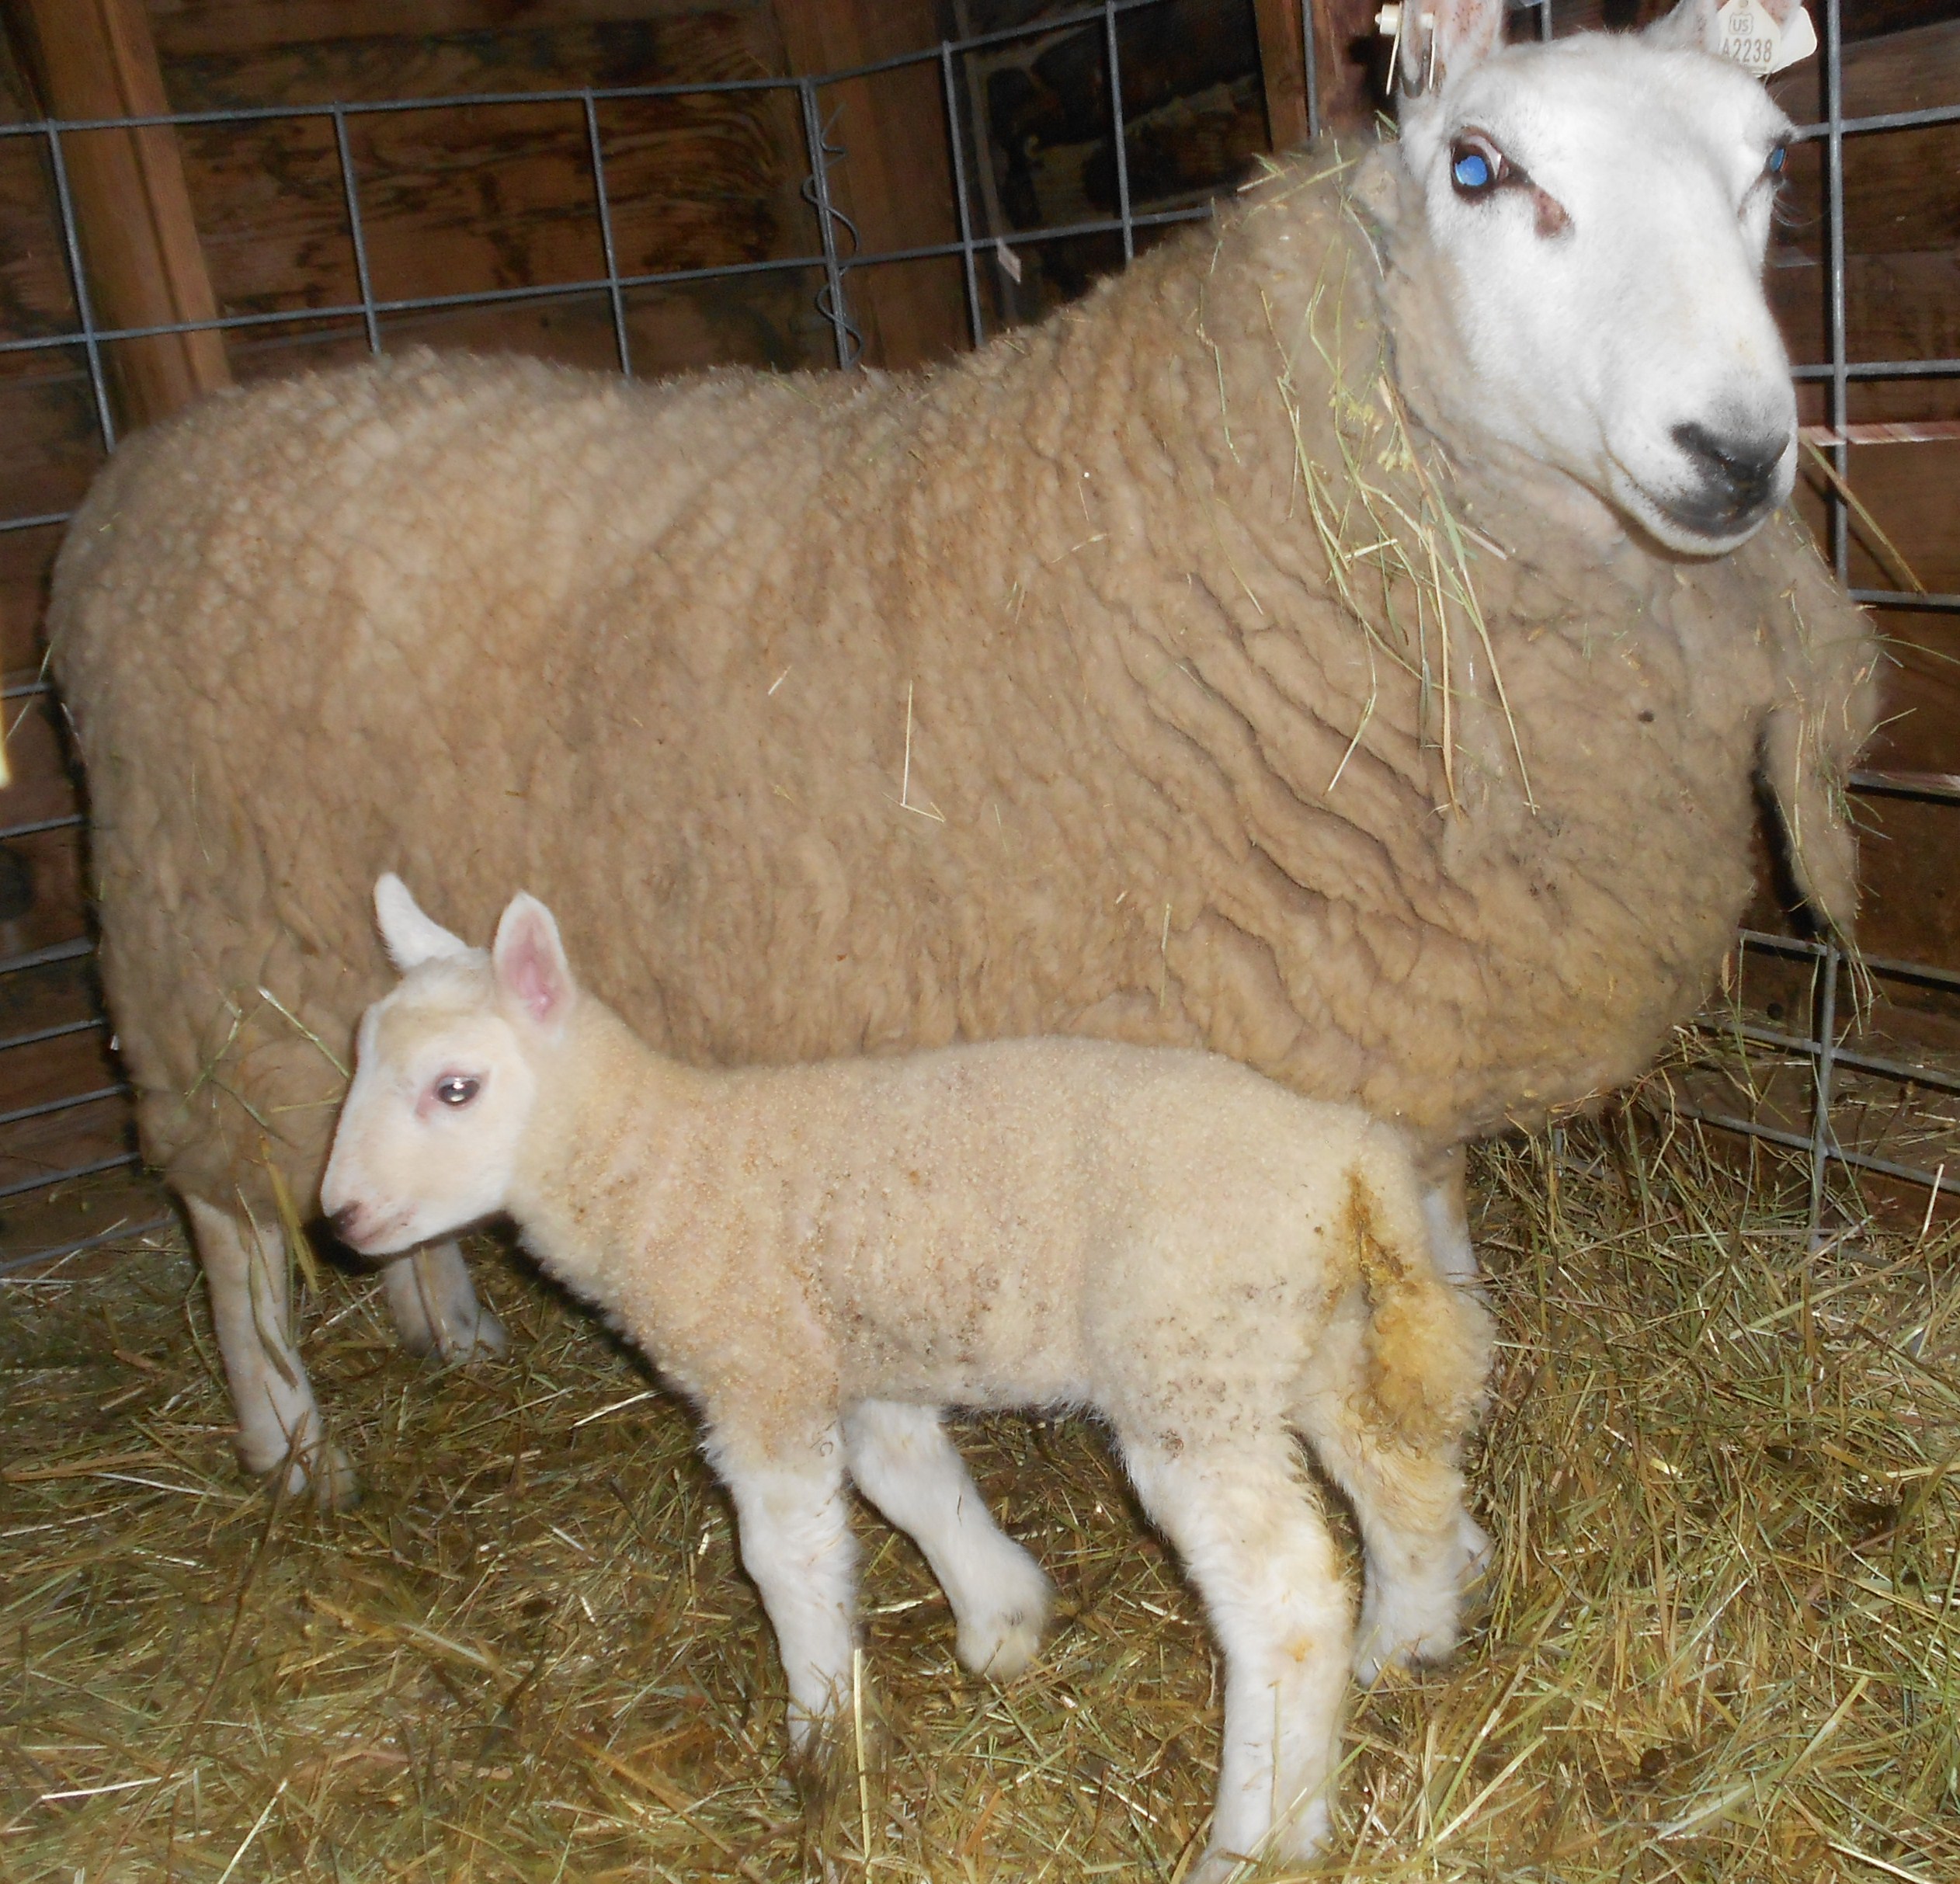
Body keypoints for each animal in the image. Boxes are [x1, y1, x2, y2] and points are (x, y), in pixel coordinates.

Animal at [47, 0, 1878, 1505]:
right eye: (1480, 170)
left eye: (1770, 163)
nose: (1733, 452)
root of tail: (145, 478)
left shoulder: (1393, 1030)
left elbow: (1432, 1242)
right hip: (210, 946)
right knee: (228, 1214)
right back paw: (290, 1443)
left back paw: (438, 1316)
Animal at [319, 874, 1495, 1882]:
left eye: (456, 1088)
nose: (339, 1218)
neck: (655, 1165)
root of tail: (1351, 1156)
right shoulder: (857, 1355)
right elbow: (910, 1478)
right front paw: (1001, 1616)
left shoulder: (761, 1372)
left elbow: (786, 1558)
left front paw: (820, 1736)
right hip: (1307, 1341)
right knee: (1402, 1481)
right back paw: (1405, 1645)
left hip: (1187, 1363)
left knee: (1287, 1595)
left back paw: (1261, 1833)